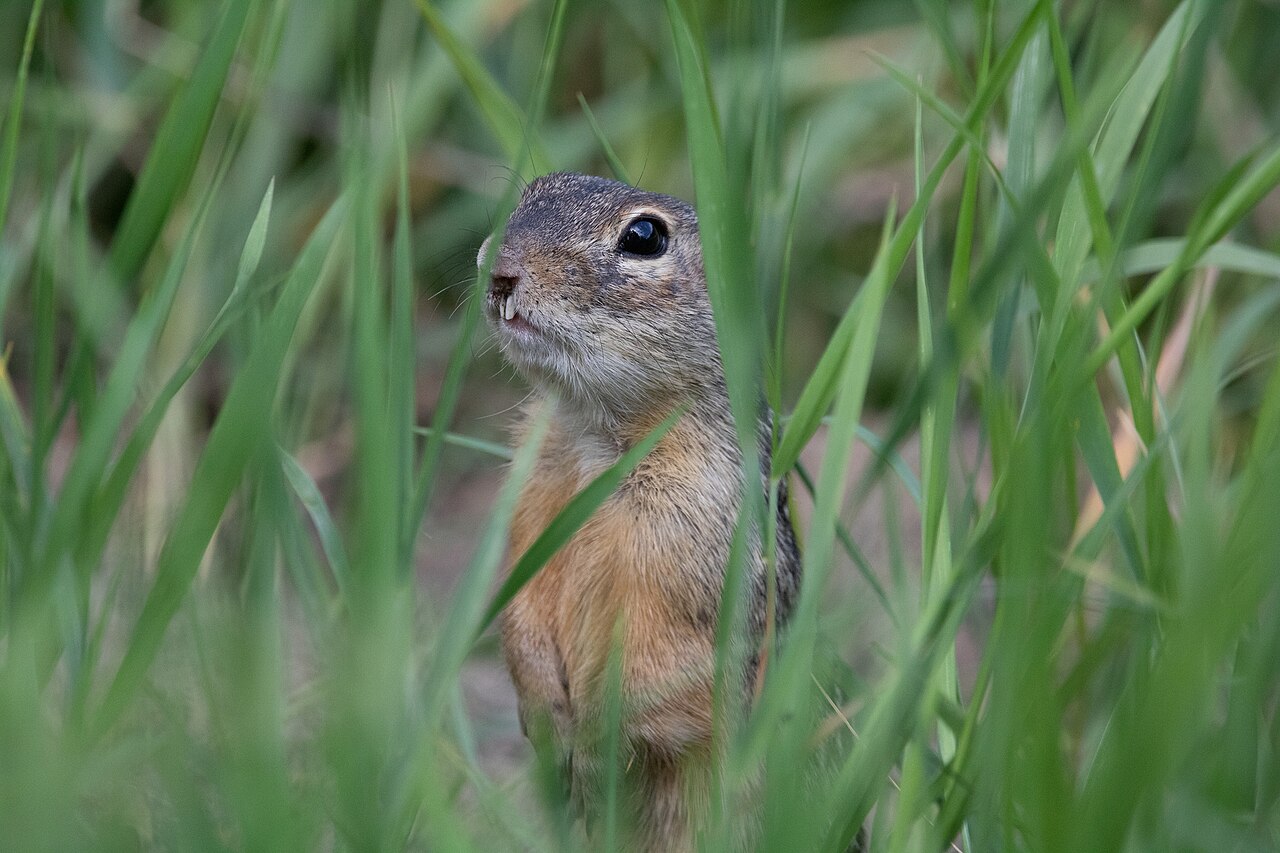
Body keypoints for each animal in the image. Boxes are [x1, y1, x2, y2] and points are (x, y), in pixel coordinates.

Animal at [479, 172, 801, 851]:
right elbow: (521, 617)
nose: (500, 271)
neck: (598, 441)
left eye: (645, 236)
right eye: (531, 192)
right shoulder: (532, 504)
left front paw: (590, 751)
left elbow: (655, 674)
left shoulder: (686, 548)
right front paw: (545, 719)